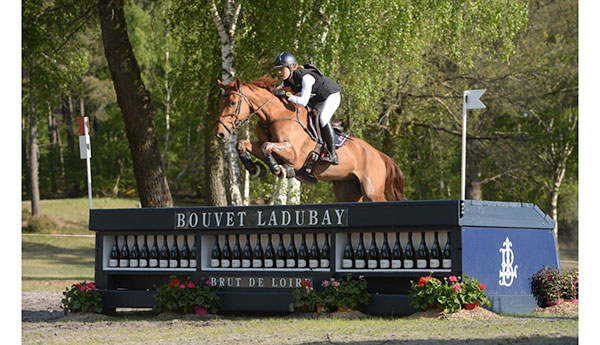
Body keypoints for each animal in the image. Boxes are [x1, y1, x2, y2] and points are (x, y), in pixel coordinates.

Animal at [213, 75, 406, 202]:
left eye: (232, 103)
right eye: (220, 103)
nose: (220, 134)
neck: (274, 115)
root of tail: (379, 155)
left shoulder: (295, 155)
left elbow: (267, 146)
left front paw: (278, 169)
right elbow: (243, 144)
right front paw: (255, 168)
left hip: (372, 191)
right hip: (347, 190)